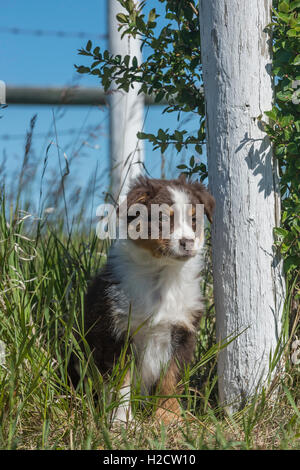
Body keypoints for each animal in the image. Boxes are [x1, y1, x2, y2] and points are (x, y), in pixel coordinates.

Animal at [69, 176, 216, 426]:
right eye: (163, 218)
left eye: (195, 220)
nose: (188, 242)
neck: (161, 274)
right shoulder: (116, 333)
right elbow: (121, 383)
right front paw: (122, 422)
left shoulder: (182, 332)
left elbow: (170, 378)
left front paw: (169, 418)